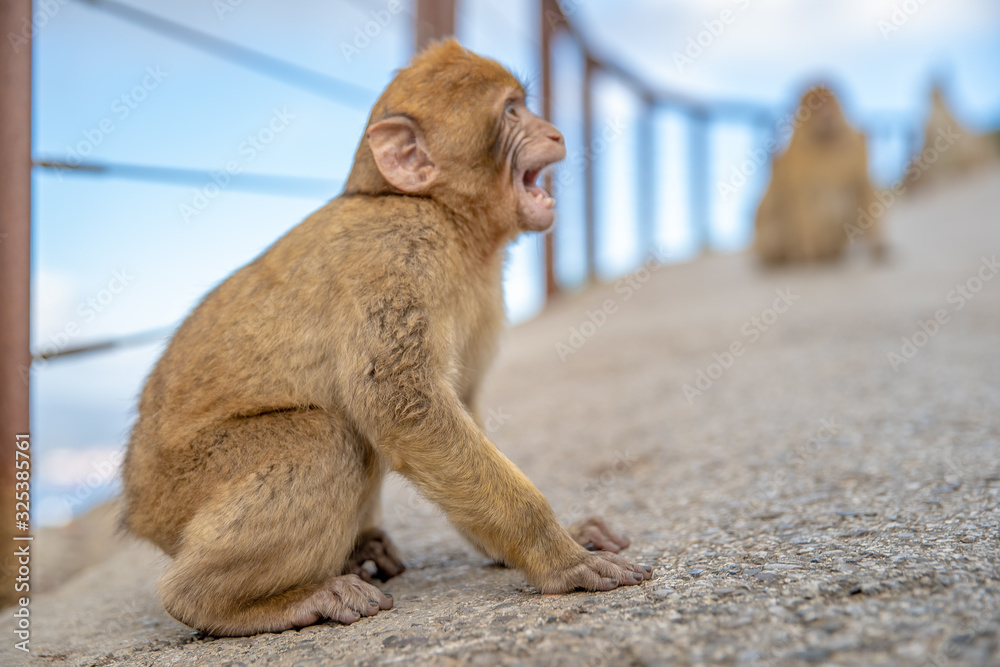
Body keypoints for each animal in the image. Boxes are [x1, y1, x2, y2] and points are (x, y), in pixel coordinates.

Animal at [120, 40, 651, 637]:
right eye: (513, 111)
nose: (556, 133)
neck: (436, 210)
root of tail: (138, 509)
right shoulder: (397, 257)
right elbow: (403, 408)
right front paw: (559, 557)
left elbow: (451, 404)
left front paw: (549, 539)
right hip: (180, 489)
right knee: (327, 436)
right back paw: (229, 601)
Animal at [753, 86, 885, 264]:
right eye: (816, 106)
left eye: (827, 103)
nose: (826, 114)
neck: (826, 142)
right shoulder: (797, 157)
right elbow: (800, 196)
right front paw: (807, 254)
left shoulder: (855, 145)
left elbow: (861, 186)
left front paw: (877, 245)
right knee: (771, 215)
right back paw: (793, 255)